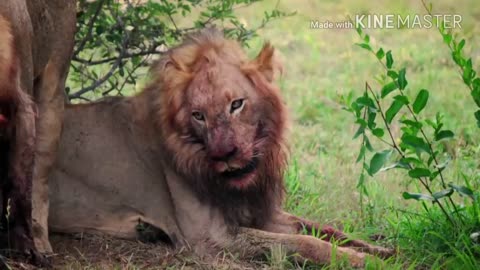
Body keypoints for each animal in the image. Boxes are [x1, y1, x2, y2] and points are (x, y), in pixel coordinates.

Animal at [0, 0, 76, 264]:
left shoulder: (21, 105)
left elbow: (22, 188)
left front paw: (28, 250)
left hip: (52, 91)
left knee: (39, 177)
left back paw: (40, 242)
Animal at [48, 28, 394, 266]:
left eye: (236, 104)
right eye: (198, 115)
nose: (224, 155)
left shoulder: (258, 211)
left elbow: (325, 230)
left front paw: (381, 249)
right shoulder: (208, 237)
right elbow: (301, 242)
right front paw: (365, 262)